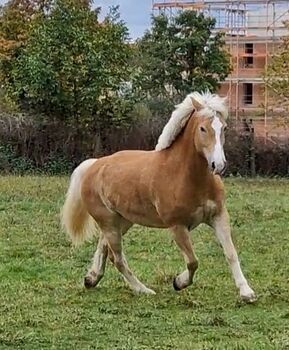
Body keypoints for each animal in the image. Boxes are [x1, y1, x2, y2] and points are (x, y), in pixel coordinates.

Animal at [60, 91, 254, 302]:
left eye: (224, 128)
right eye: (203, 128)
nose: (218, 165)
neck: (184, 175)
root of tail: (94, 165)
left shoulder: (218, 216)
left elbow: (231, 253)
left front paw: (247, 292)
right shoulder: (177, 226)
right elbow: (193, 261)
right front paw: (178, 282)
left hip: (123, 221)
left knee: (104, 247)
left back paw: (91, 278)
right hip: (109, 222)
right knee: (117, 258)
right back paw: (143, 290)